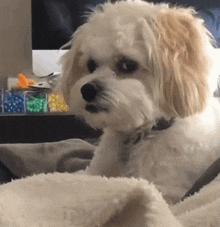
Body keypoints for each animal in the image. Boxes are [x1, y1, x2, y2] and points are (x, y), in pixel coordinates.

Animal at [59, 0, 220, 203]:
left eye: (127, 65)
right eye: (91, 65)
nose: (87, 90)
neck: (138, 136)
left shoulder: (166, 190)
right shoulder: (94, 172)